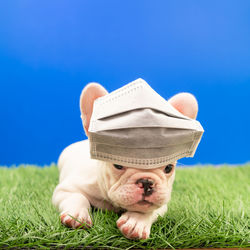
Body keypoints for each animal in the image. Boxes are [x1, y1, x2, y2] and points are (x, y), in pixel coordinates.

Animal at [51, 83, 198, 239]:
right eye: (117, 165)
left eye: (169, 168)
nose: (146, 182)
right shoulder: (66, 189)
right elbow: (77, 197)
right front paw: (77, 215)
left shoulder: (162, 203)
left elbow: (149, 210)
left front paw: (136, 220)